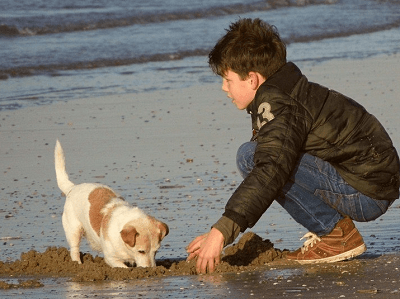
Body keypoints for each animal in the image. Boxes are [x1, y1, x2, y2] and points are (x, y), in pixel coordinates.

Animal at [53, 141, 169, 270]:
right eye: (141, 251)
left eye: (156, 251)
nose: (151, 269)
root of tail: (73, 188)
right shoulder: (111, 259)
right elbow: (124, 268)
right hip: (74, 230)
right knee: (74, 250)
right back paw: (77, 264)